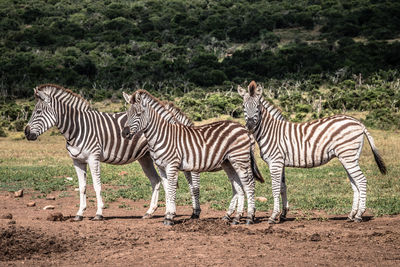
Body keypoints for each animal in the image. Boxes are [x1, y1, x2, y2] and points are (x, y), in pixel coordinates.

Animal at [23, 84, 202, 222]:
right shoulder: (77, 160)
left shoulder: (93, 157)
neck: (77, 128)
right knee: (157, 181)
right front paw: (79, 213)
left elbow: (97, 186)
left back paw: (185, 212)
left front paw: (98, 213)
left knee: (182, 181)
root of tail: (170, 115)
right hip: (145, 158)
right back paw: (151, 212)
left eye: (38, 112)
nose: (26, 133)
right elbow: (82, 187)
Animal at [122, 90, 266, 226]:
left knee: (249, 185)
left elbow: (179, 189)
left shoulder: (174, 166)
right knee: (239, 186)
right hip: (229, 163)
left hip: (240, 160)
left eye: (139, 114)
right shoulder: (162, 167)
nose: (125, 133)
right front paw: (168, 215)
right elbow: (168, 189)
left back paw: (249, 217)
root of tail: (243, 128)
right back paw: (234, 217)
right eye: (127, 114)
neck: (162, 135)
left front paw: (170, 217)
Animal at [239, 81, 386, 224]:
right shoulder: (280, 163)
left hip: (348, 155)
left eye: (258, 106)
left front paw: (273, 216)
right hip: (349, 157)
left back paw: (359, 215)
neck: (270, 131)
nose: (250, 126)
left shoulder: (275, 162)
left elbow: (275, 188)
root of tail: (358, 123)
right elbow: (282, 187)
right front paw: (283, 214)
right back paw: (351, 215)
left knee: (361, 180)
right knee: (355, 184)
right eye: (243, 106)